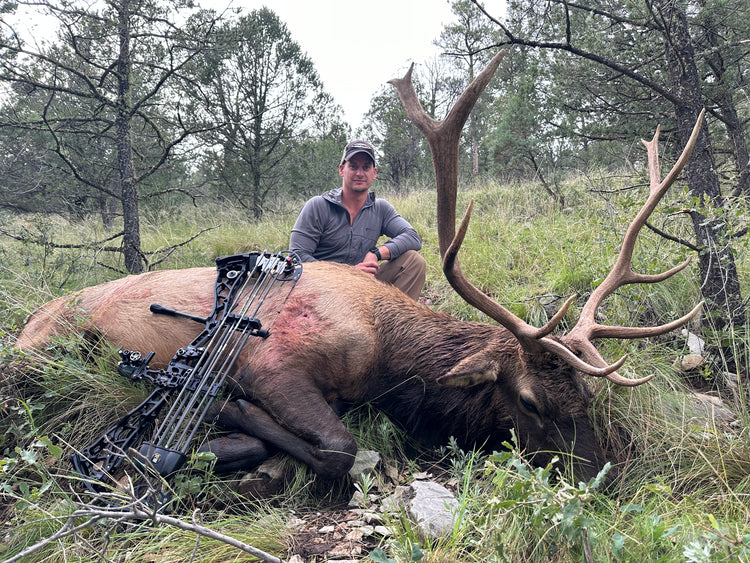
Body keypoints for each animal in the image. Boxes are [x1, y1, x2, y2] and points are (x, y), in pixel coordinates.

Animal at [13, 49, 703, 485]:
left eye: (586, 395)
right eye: (531, 402)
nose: (599, 478)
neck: (387, 359)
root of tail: (26, 325)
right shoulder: (271, 363)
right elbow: (341, 449)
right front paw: (235, 418)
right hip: (46, 351)